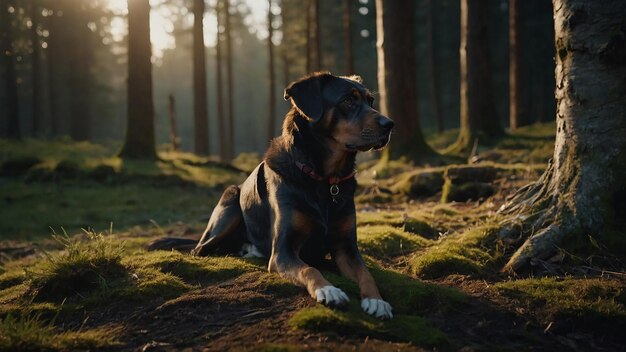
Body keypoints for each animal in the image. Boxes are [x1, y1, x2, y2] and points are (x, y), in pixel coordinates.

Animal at [149, 71, 392, 320]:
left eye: (370, 101)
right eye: (348, 100)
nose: (390, 124)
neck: (325, 180)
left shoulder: (345, 247)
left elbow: (365, 273)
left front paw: (376, 300)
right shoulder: (283, 251)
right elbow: (309, 269)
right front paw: (328, 290)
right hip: (229, 204)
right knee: (200, 249)